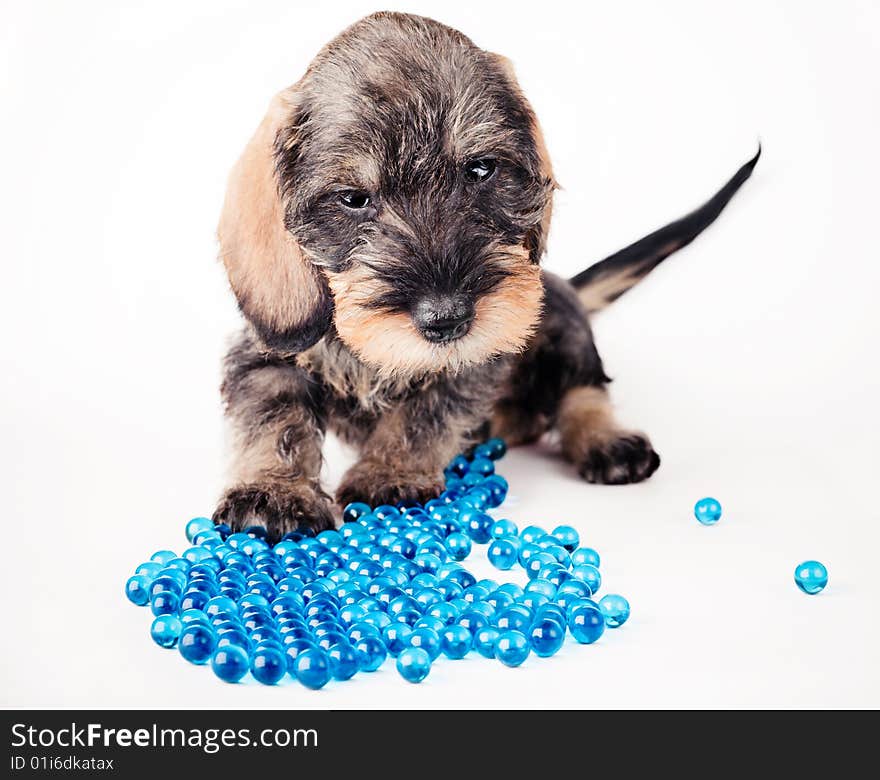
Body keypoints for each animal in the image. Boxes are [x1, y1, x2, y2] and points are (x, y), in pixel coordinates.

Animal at [211, 12, 756, 540]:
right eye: (353, 198)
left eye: (481, 169)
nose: (447, 318)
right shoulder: (266, 354)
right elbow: (275, 415)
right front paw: (275, 491)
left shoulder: (475, 358)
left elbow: (426, 411)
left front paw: (391, 472)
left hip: (560, 321)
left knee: (582, 390)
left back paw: (606, 440)